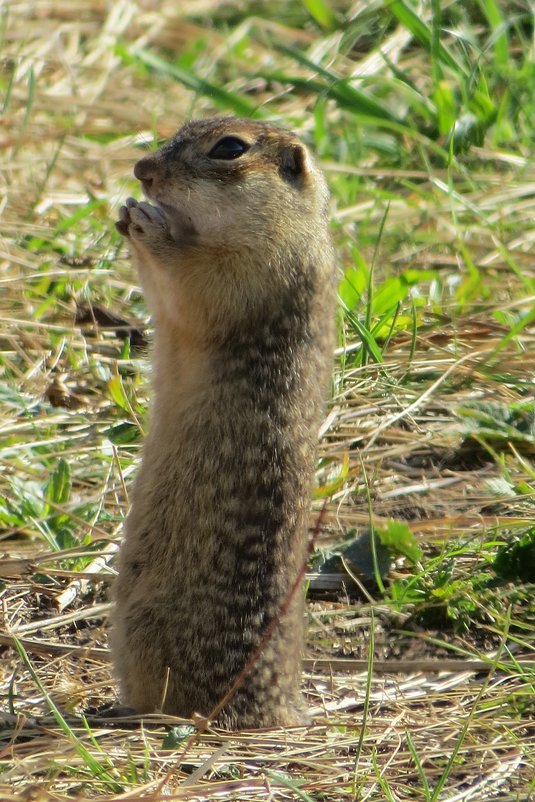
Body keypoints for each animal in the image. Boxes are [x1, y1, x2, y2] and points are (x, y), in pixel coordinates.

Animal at [112, 117, 338, 724]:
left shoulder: (253, 268)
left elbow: (191, 282)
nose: (142, 170)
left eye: (229, 148)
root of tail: (279, 714)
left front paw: (146, 221)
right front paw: (126, 210)